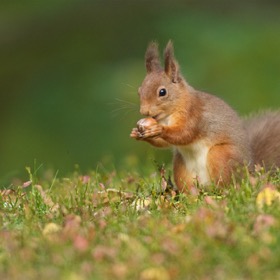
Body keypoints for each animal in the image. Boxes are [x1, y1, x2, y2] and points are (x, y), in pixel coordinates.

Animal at [131, 40, 280, 192]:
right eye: (139, 91)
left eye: (162, 92)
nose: (144, 111)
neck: (168, 116)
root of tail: (249, 172)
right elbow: (165, 143)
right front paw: (136, 133)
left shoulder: (195, 115)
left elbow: (185, 133)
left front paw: (159, 129)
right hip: (180, 165)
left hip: (220, 155)